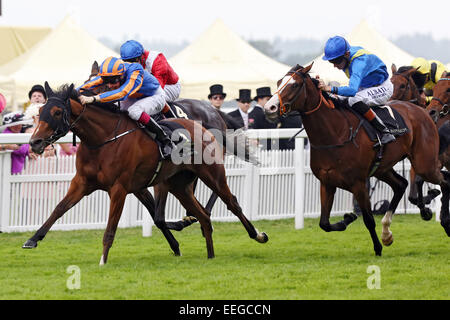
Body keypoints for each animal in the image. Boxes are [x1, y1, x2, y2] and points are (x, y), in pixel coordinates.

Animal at [22, 82, 268, 264]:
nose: (35, 142)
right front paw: (33, 239)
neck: (102, 140)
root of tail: (206, 124)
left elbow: (112, 227)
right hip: (179, 185)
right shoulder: (82, 183)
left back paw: (258, 235)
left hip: (211, 173)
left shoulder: (119, 188)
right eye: (40, 110)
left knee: (231, 202)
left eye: (57, 111)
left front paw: (103, 260)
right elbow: (58, 209)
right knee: (203, 216)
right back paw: (209, 254)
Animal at [264, 63, 450, 256]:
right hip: (383, 168)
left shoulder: (358, 183)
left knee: (444, 182)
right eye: (279, 82)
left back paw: (443, 220)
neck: (335, 133)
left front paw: (377, 249)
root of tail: (423, 111)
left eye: (294, 85)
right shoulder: (327, 182)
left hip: (424, 164)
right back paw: (388, 233)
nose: (269, 108)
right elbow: (324, 224)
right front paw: (348, 218)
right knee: (402, 184)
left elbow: (368, 219)